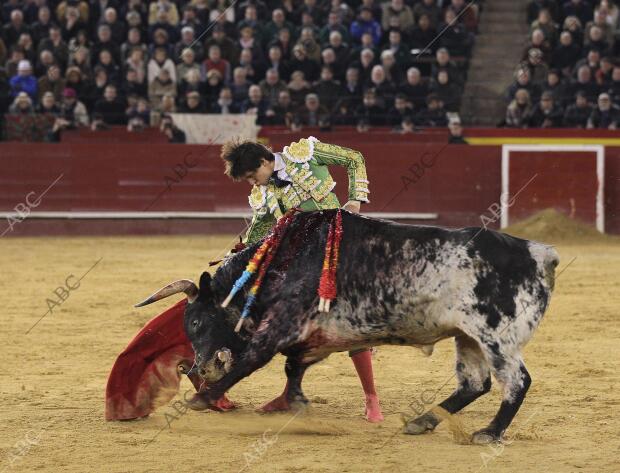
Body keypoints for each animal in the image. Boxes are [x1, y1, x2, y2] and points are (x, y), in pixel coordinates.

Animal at [137, 210, 560, 442]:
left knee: (515, 381)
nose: (199, 368)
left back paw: (488, 432)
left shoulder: (283, 324)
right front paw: (295, 404)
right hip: (468, 337)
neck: (281, 259)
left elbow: (253, 360)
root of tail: (540, 253)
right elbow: (293, 368)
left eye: (195, 320)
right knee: (474, 383)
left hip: (497, 336)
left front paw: (202, 398)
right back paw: (422, 422)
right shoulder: (313, 336)